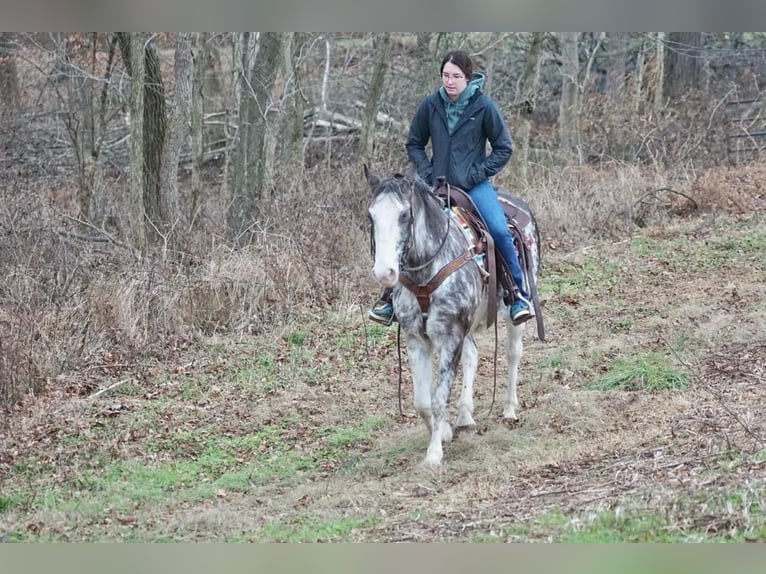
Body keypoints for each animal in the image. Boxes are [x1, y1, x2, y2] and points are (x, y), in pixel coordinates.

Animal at [364, 166, 540, 468]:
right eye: (371, 216)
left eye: (404, 215)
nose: (384, 272)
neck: (427, 273)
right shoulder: (417, 339)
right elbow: (422, 401)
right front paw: (444, 432)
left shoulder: (450, 336)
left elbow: (439, 398)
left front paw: (434, 454)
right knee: (472, 355)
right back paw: (465, 416)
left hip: (514, 314)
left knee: (513, 354)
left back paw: (509, 409)